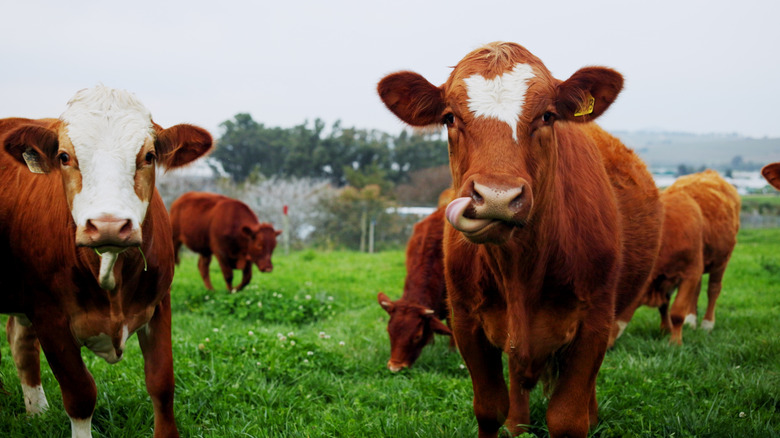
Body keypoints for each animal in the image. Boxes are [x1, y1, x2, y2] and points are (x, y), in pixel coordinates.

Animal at [0, 86, 212, 437]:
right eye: (64, 156)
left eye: (149, 156)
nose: (108, 225)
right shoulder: (48, 316)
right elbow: (81, 394)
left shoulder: (159, 304)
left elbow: (162, 383)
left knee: (21, 342)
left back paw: (37, 412)